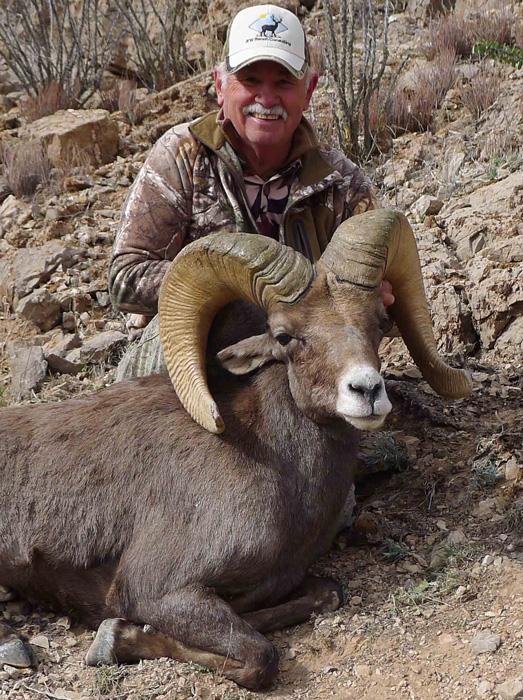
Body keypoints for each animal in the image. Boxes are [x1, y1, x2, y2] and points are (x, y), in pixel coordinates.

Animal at [0, 209, 471, 690]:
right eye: (284, 336)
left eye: (378, 320)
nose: (367, 390)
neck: (277, 468)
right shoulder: (161, 590)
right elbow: (259, 657)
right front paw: (116, 639)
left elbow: (325, 594)